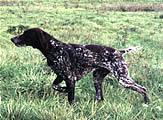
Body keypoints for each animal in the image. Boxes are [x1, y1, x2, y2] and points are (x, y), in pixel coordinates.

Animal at [10, 27, 150, 104]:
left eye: (25, 34)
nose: (12, 39)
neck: (54, 48)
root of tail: (119, 51)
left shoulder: (70, 78)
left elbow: (70, 98)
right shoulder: (61, 76)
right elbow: (55, 86)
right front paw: (63, 89)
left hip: (123, 79)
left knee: (143, 89)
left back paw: (147, 103)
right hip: (97, 78)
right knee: (99, 97)